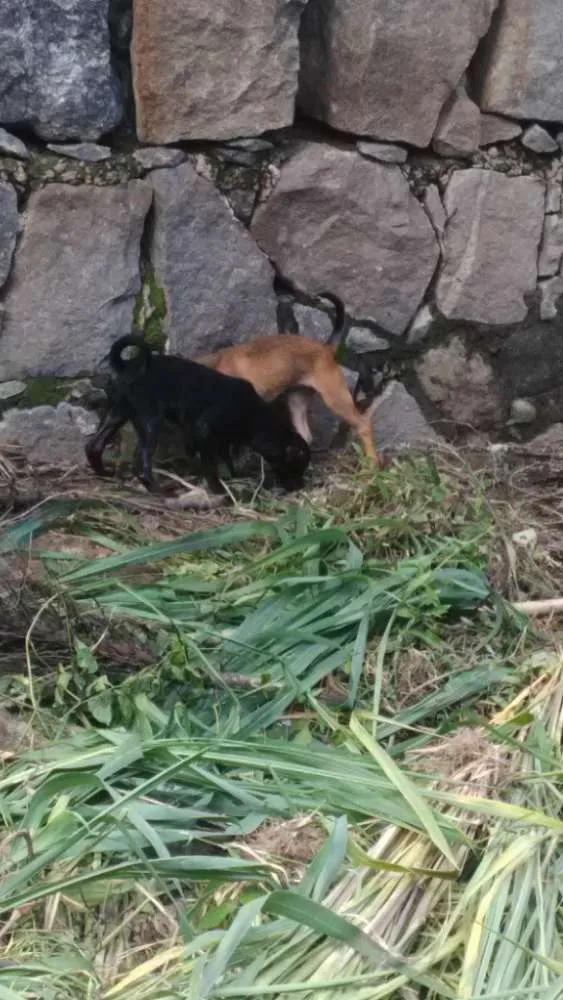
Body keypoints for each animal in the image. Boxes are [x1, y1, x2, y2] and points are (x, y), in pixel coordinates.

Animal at [86, 336, 310, 492]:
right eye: (296, 466)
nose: (301, 486)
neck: (254, 414)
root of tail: (128, 366)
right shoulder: (205, 431)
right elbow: (210, 466)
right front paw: (219, 490)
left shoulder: (223, 440)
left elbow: (227, 460)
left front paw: (233, 477)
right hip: (150, 422)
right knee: (142, 463)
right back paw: (159, 491)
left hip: (116, 414)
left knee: (94, 446)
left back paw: (104, 473)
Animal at [197, 290, 378, 460]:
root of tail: (326, 348)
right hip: (297, 401)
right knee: (306, 437)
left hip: (336, 399)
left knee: (363, 425)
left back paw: (371, 462)